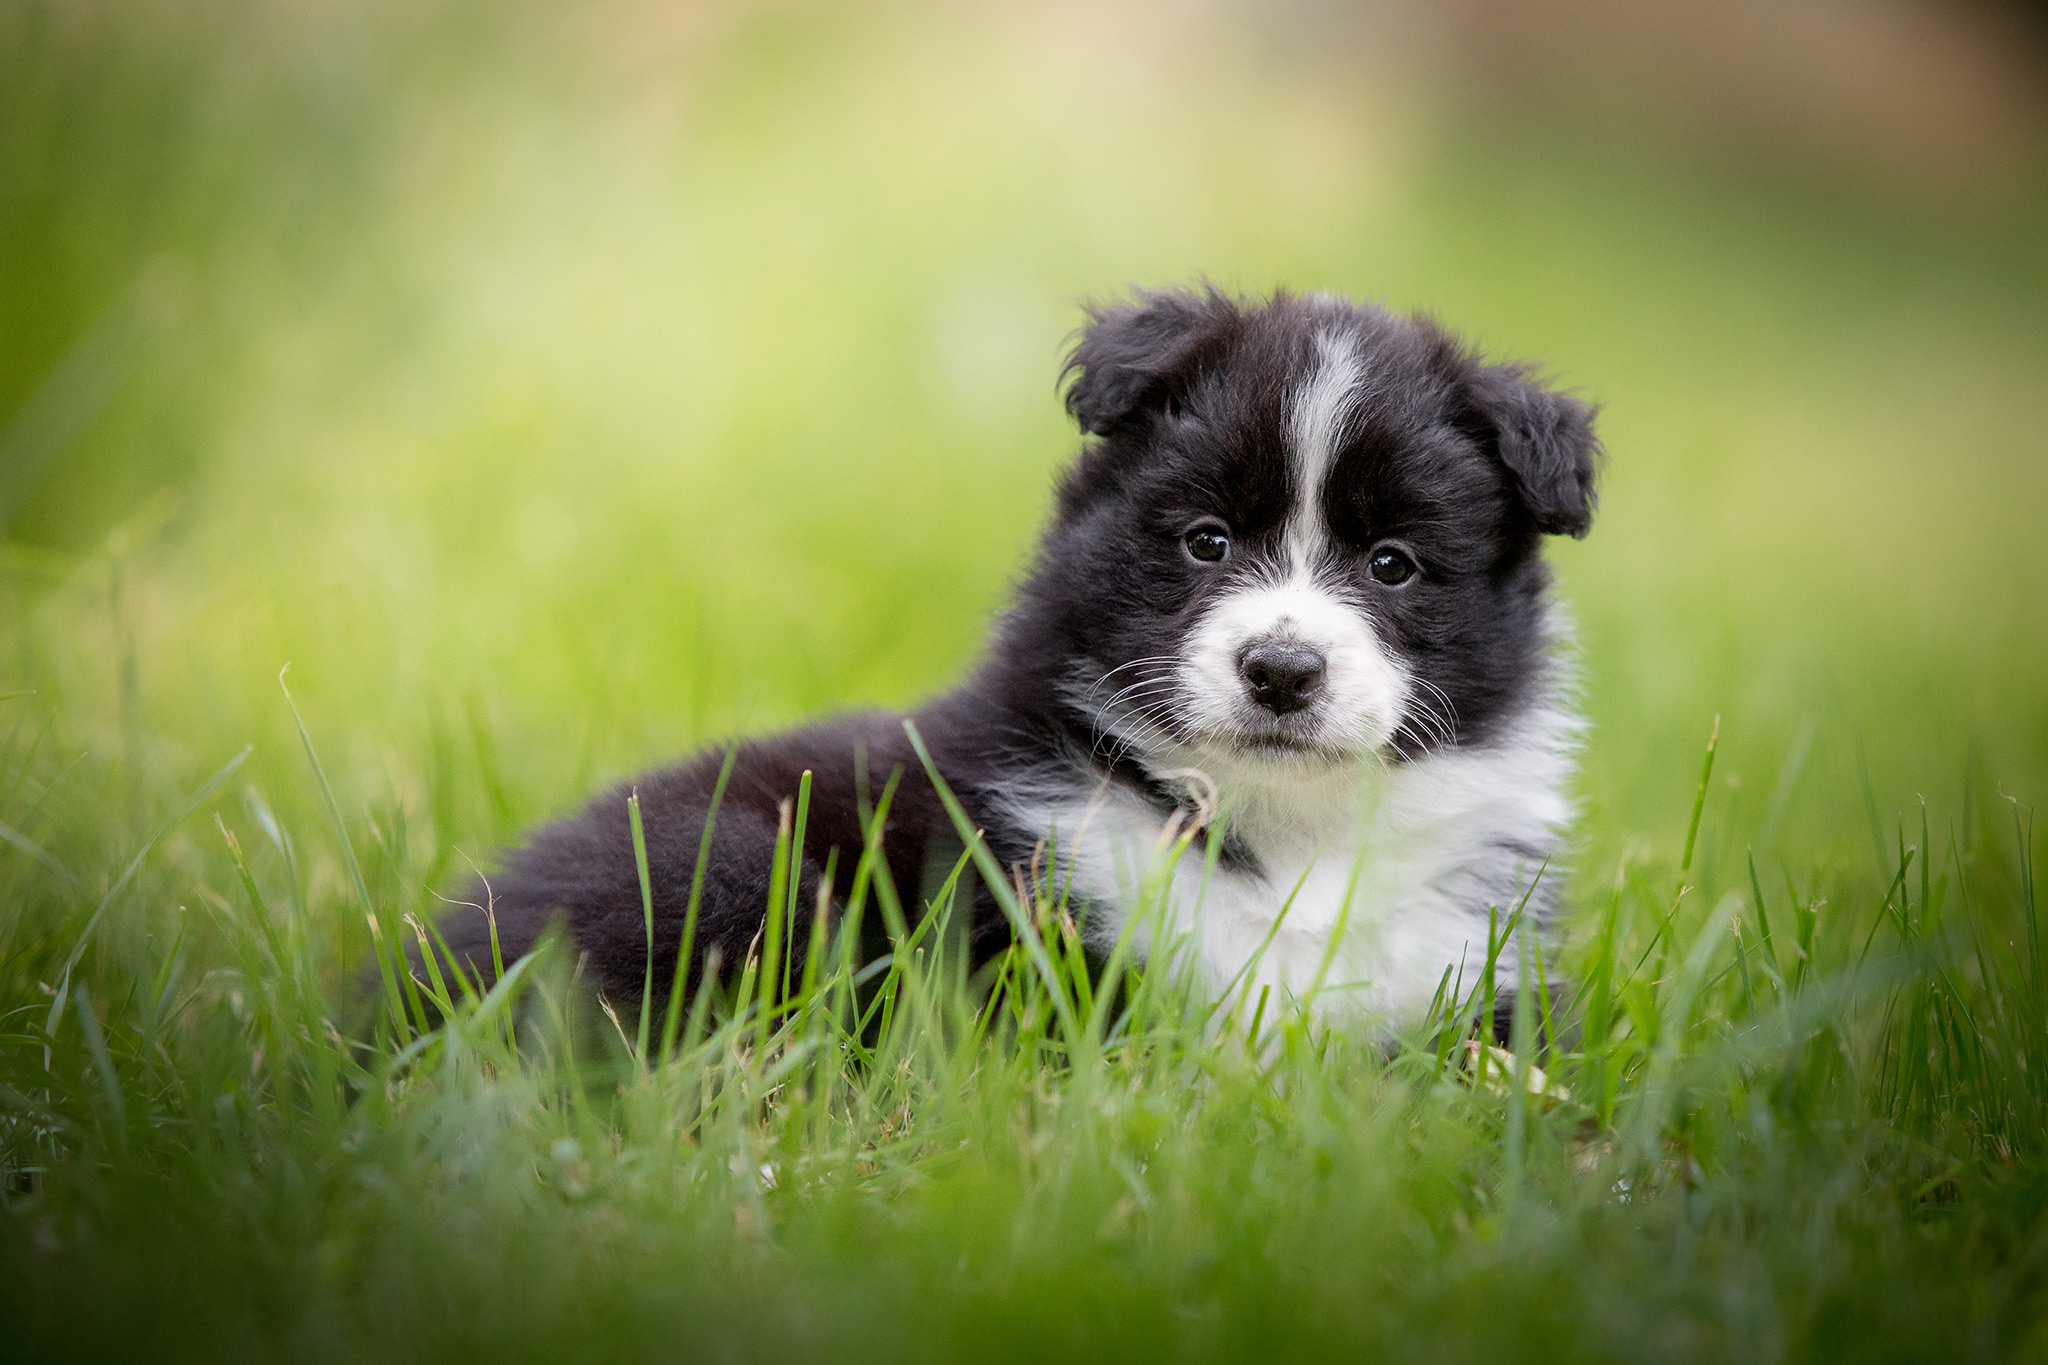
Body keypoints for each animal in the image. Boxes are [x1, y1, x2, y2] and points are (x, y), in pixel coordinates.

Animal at [436, 286, 1597, 1035]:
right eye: (1206, 541)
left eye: (1393, 564)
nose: (1279, 670)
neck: (1278, 830)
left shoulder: (1469, 966)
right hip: (721, 862)